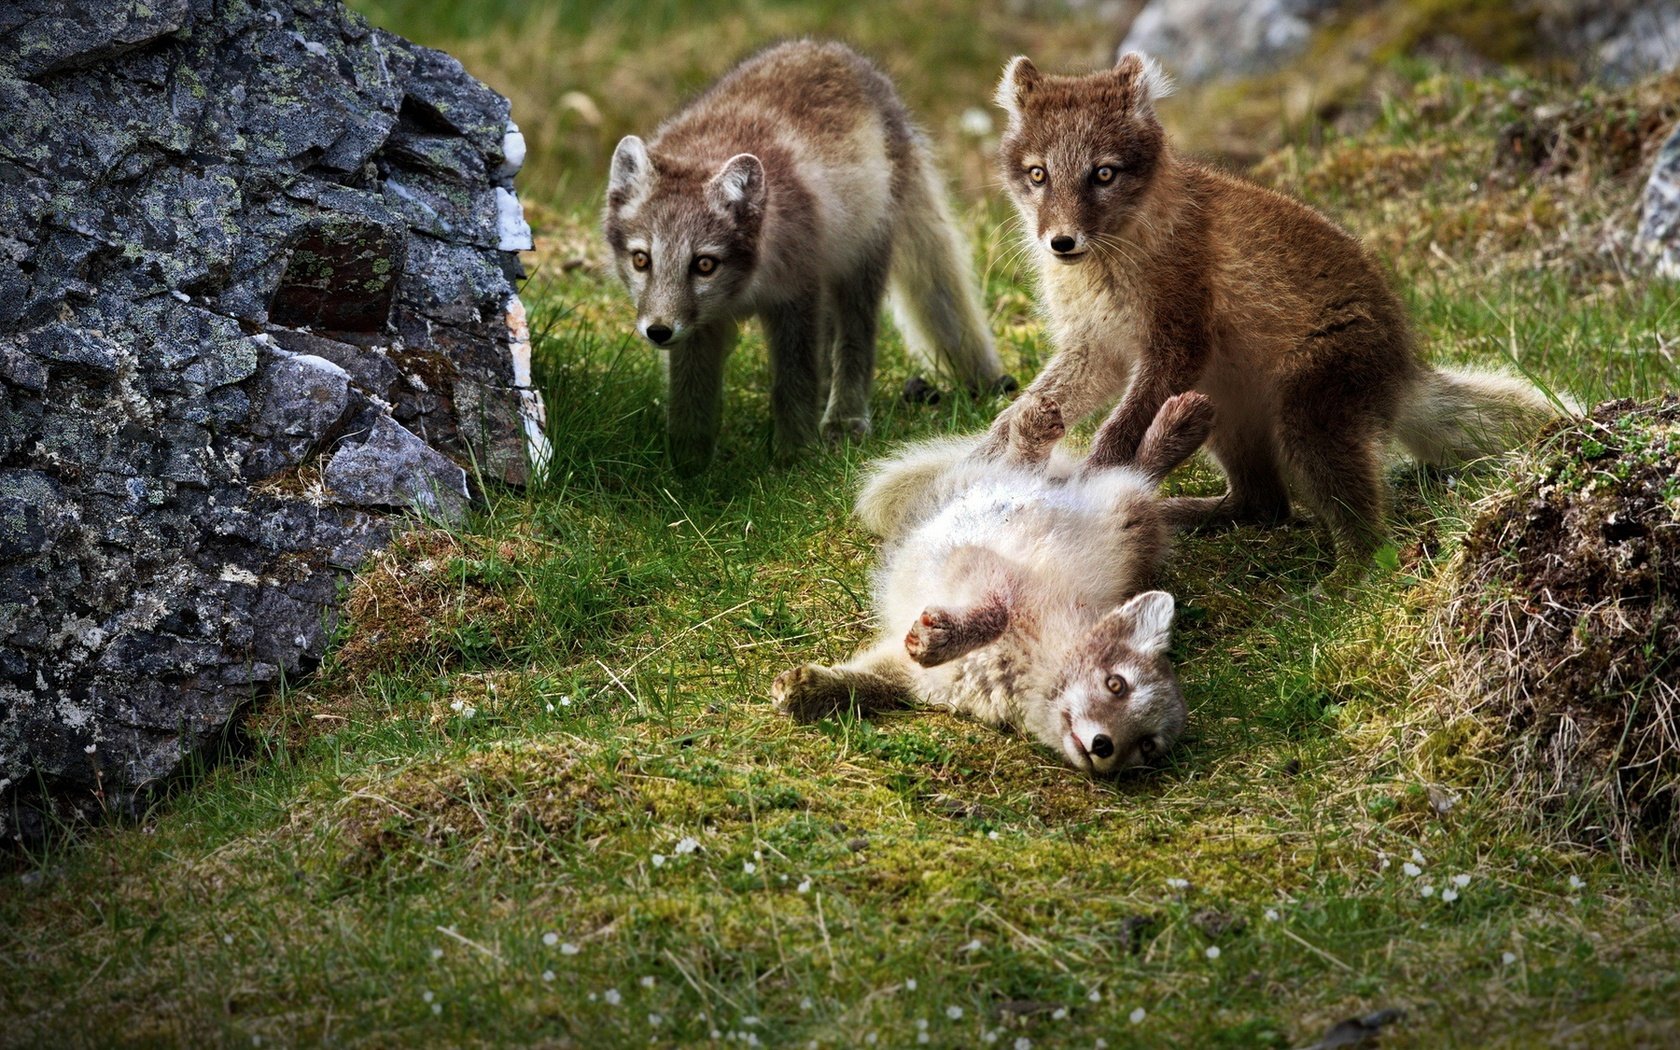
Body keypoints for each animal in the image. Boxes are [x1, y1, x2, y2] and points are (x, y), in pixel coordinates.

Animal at [608, 36, 1007, 470]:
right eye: (641, 259)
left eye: (704, 264)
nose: (658, 331)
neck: (743, 289)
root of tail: (835, 50)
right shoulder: (701, 326)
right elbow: (690, 392)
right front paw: (687, 465)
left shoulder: (796, 297)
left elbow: (793, 382)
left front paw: (795, 456)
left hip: (860, 258)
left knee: (854, 341)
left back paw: (843, 419)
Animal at [769, 389, 1216, 772]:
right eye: (1116, 684)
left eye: (1147, 745)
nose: (1103, 747)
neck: (1016, 672)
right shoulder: (981, 568)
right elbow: (993, 612)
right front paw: (937, 639)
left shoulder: (911, 675)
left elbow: (871, 685)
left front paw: (808, 688)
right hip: (1099, 505)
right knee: (1109, 468)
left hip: (1127, 519)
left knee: (1133, 474)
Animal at [981, 52, 1559, 564]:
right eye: (1038, 174)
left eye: (1103, 174)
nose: (1061, 242)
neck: (1108, 263)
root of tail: (1404, 370)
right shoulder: (1096, 346)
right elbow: (1029, 404)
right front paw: (989, 452)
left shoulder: (1179, 338)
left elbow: (1118, 429)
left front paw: (1090, 480)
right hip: (1225, 409)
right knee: (1264, 504)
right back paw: (1182, 512)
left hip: (1309, 415)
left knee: (1367, 539)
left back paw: (1348, 586)